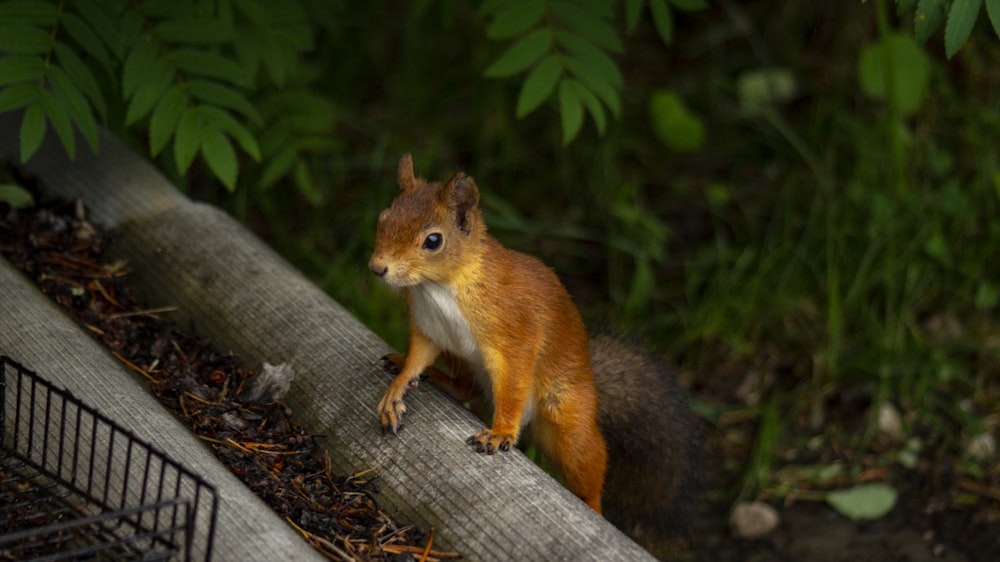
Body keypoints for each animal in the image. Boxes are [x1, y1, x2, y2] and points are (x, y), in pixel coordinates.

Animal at [370, 153, 704, 556]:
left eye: (433, 240)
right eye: (383, 218)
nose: (377, 268)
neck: (439, 287)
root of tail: (590, 382)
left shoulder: (515, 334)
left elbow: (513, 385)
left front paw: (499, 432)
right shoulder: (429, 329)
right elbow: (418, 356)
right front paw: (397, 389)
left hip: (567, 417)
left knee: (583, 460)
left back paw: (592, 505)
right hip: (462, 361)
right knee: (469, 389)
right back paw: (430, 376)